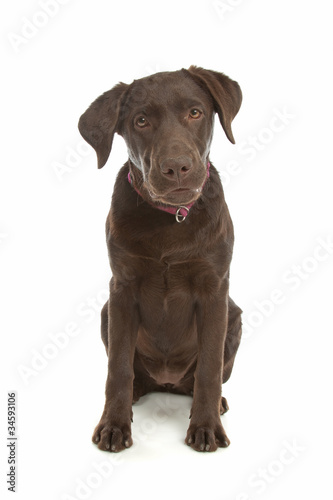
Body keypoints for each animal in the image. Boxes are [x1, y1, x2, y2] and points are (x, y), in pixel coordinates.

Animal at [79, 66, 243, 454]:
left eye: (195, 113)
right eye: (141, 121)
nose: (177, 167)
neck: (172, 218)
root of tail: (167, 382)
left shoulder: (215, 290)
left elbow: (210, 367)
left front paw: (206, 426)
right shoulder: (122, 289)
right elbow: (118, 367)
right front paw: (114, 425)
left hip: (235, 316)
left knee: (203, 377)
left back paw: (216, 404)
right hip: (107, 313)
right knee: (133, 372)